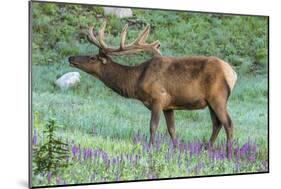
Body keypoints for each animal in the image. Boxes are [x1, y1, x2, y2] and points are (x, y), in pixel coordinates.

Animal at [68, 21, 236, 154]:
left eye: (92, 58)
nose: (70, 57)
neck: (136, 81)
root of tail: (233, 74)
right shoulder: (169, 106)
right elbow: (172, 129)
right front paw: (177, 150)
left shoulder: (157, 99)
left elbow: (153, 126)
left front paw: (150, 148)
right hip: (210, 102)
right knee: (217, 124)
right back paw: (206, 149)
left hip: (218, 97)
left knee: (228, 123)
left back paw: (229, 154)